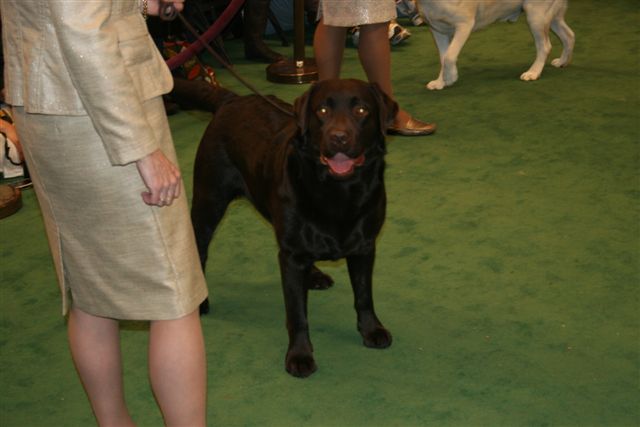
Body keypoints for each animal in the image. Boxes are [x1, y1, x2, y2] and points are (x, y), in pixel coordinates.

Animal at [190, 79, 397, 378]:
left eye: (361, 110)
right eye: (322, 110)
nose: (339, 137)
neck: (338, 191)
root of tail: (231, 99)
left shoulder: (364, 247)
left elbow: (364, 295)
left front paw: (372, 329)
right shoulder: (291, 256)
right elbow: (297, 313)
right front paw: (299, 356)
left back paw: (314, 275)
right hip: (209, 201)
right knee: (199, 249)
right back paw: (200, 301)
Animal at [416, 0, 575, 89]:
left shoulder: (464, 25)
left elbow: (449, 56)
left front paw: (451, 77)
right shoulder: (438, 31)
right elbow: (443, 59)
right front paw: (440, 82)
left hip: (536, 15)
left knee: (545, 46)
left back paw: (533, 73)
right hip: (552, 17)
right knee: (569, 36)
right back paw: (562, 62)